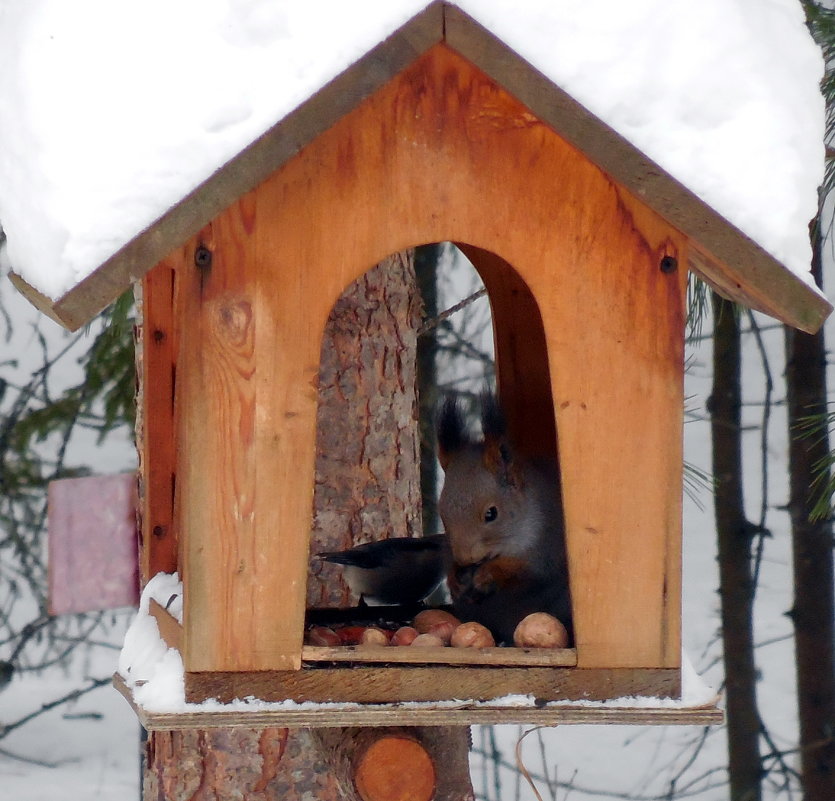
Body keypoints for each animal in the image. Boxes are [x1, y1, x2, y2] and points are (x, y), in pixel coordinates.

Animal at [434, 394, 572, 644]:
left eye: (491, 513)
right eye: (443, 514)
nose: (466, 558)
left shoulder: (547, 543)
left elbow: (528, 570)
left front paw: (488, 574)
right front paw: (454, 578)